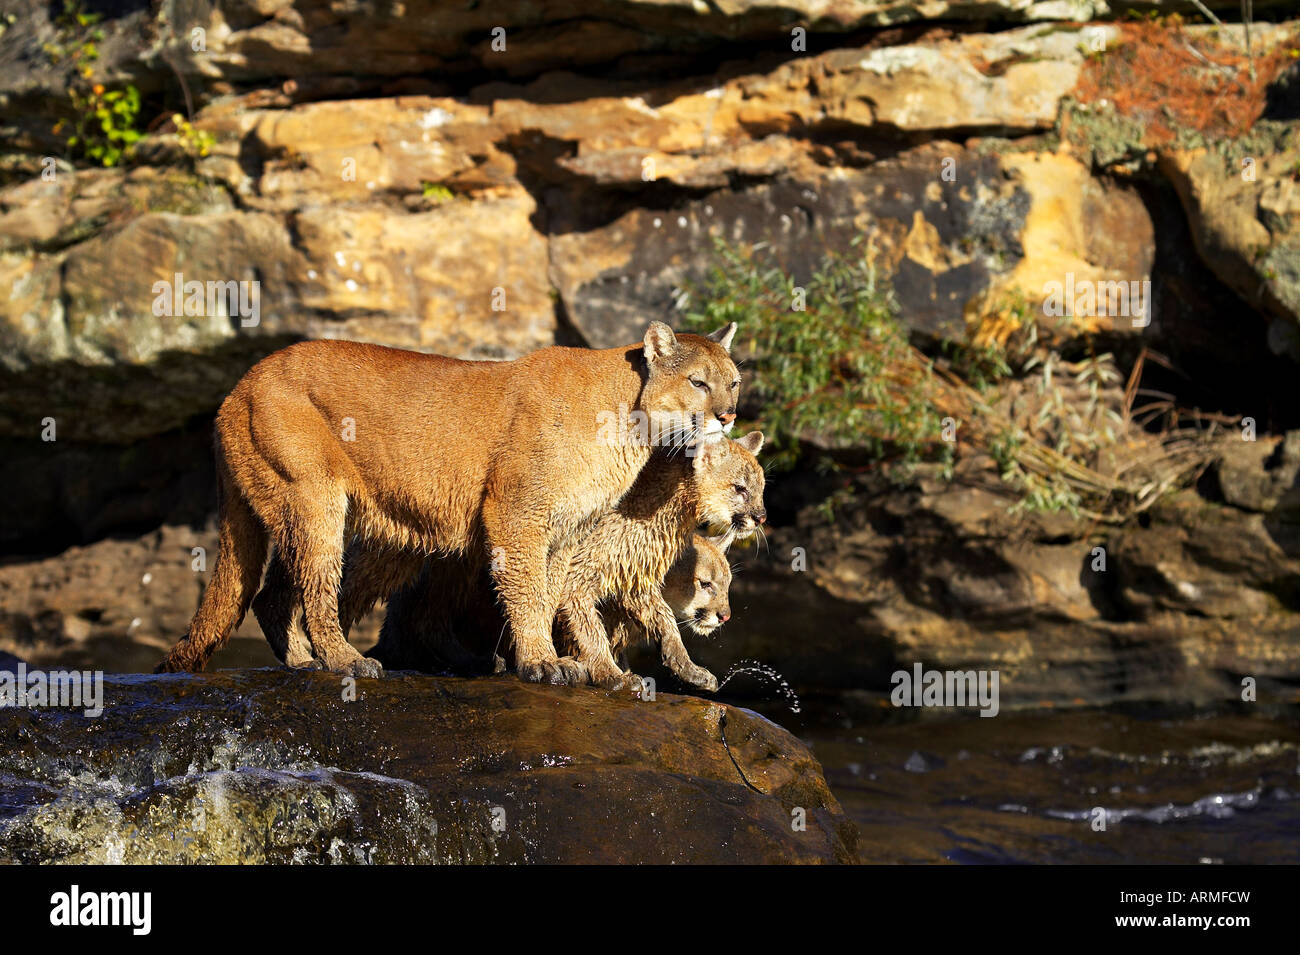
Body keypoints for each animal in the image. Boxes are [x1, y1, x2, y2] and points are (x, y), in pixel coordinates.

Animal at [156, 324, 738, 686]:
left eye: (733, 382)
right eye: (698, 382)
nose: (729, 416)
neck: (630, 416)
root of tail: (238, 386)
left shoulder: (567, 528)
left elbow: (551, 591)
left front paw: (555, 660)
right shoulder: (517, 512)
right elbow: (528, 589)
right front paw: (543, 663)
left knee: (272, 593)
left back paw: (302, 660)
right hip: (314, 497)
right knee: (317, 589)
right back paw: (344, 660)